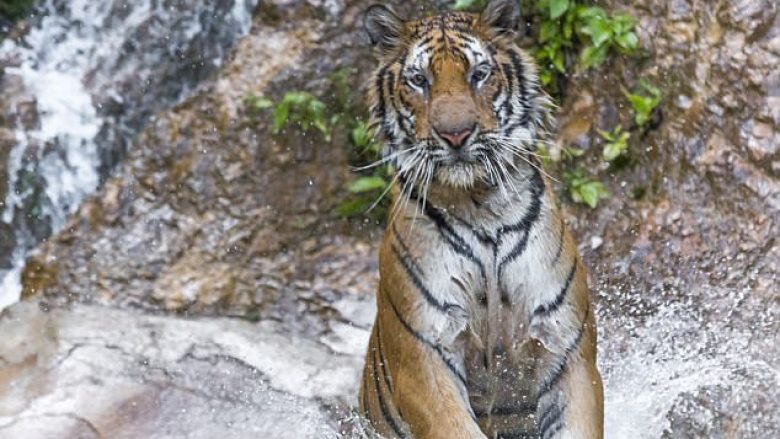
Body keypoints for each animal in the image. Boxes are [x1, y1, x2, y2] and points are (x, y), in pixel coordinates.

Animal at [356, 0, 608, 439]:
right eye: (419, 80)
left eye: (479, 74)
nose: (456, 134)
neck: (480, 206)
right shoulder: (425, 355)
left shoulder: (566, 348)